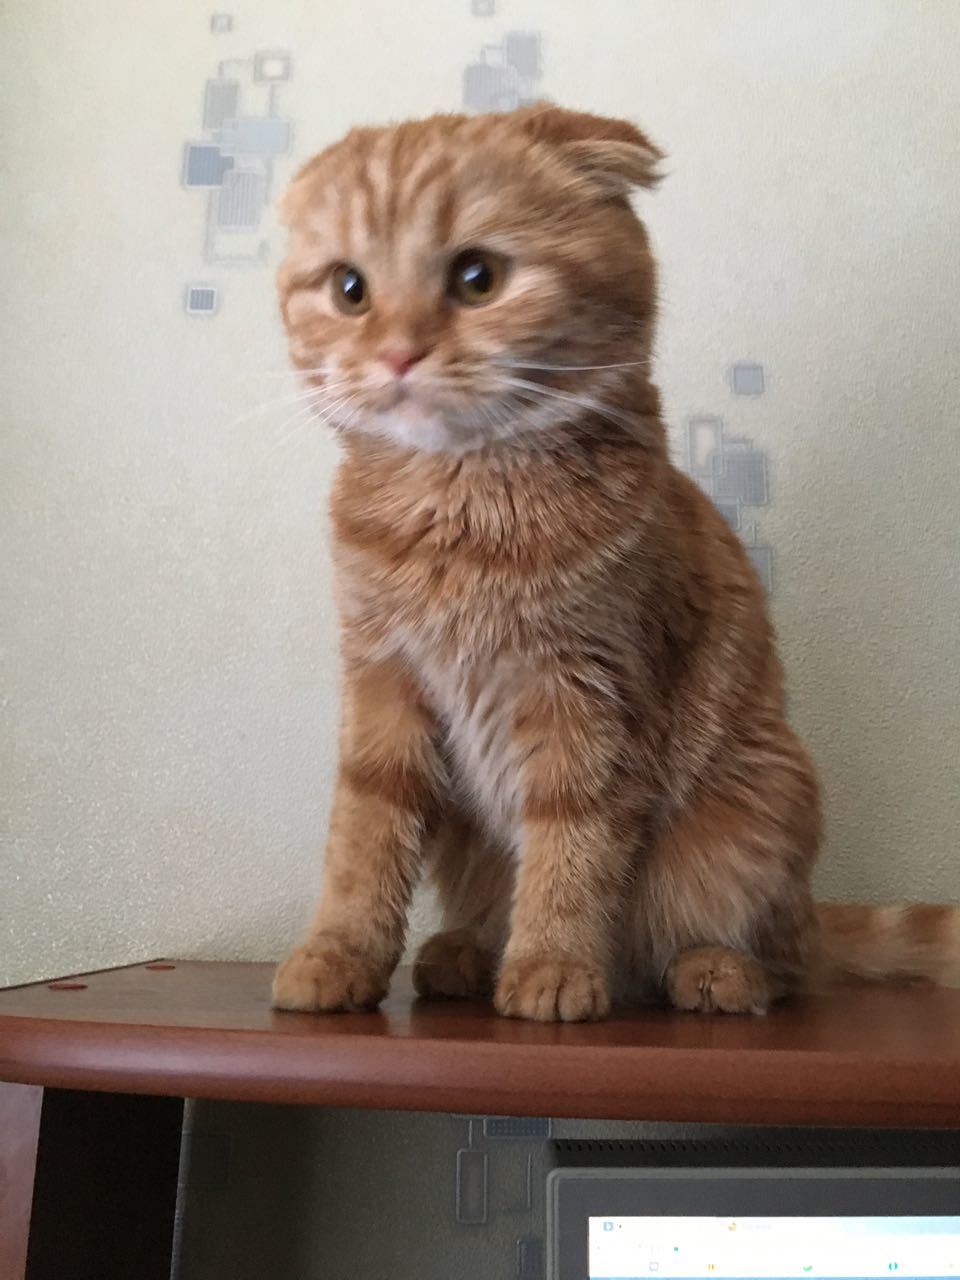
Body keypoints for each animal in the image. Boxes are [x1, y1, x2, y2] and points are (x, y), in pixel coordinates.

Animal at [268, 104, 957, 1024]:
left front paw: (553, 966)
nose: (399, 354)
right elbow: (363, 839)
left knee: (780, 962)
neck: (459, 514)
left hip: (752, 811)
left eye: (478, 277)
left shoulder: (587, 700)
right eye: (350, 289)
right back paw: (463, 952)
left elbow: (571, 851)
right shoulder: (382, 686)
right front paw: (339, 953)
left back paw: (713, 970)